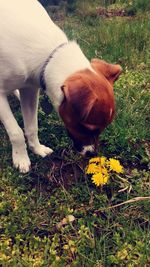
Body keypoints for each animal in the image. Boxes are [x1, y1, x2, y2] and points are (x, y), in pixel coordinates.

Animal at [0, 0, 122, 174]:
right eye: (87, 128)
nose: (92, 154)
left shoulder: (30, 90)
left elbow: (32, 126)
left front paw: (37, 149)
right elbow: (16, 132)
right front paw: (21, 159)